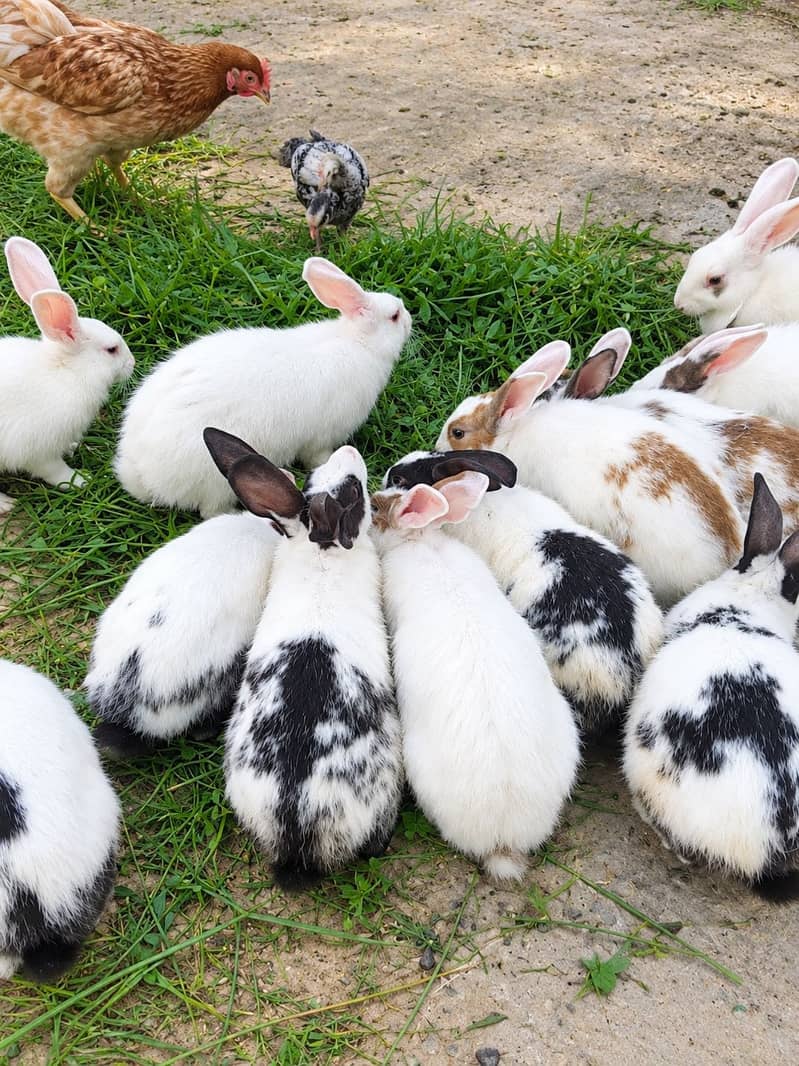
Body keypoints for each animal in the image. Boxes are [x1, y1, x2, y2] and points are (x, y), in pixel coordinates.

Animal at [0, 237, 134, 514]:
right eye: (112, 350)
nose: (133, 363)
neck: (66, 372)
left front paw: (73, 448)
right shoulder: (39, 452)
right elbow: (55, 472)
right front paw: (81, 481)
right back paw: (5, 504)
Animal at [114, 257, 412, 517]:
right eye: (394, 316)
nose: (409, 319)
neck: (358, 342)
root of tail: (142, 475)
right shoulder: (321, 438)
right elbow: (318, 457)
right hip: (218, 480)